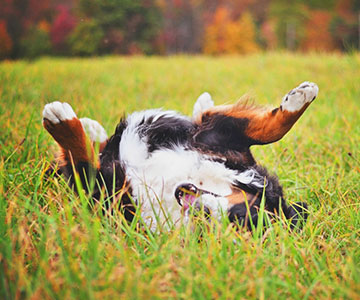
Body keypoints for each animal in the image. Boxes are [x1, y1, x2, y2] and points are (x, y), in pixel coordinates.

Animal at [42, 81, 318, 231]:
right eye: (240, 216)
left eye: (237, 223)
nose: (201, 212)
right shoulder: (219, 139)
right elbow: (269, 129)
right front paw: (300, 99)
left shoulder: (109, 195)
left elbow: (83, 166)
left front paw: (61, 124)